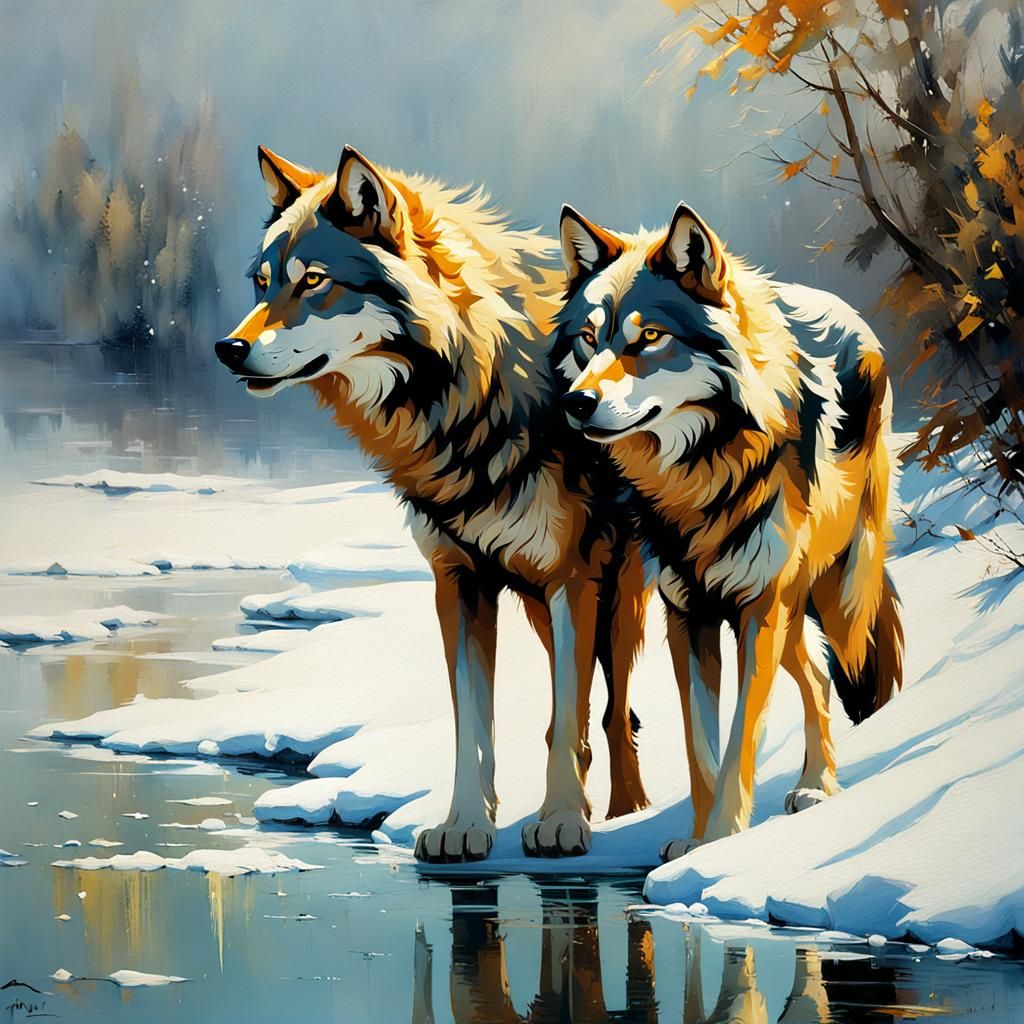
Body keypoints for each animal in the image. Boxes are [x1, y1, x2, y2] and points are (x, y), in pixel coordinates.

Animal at [214, 145, 652, 862]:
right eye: (262, 282)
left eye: (313, 282)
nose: (229, 349)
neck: (467, 397)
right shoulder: (459, 581)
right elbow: (472, 725)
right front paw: (466, 826)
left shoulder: (571, 577)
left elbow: (569, 717)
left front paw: (563, 819)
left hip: (617, 597)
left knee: (613, 713)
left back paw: (628, 813)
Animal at [555, 202, 904, 859]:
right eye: (589, 340)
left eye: (649, 336)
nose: (576, 403)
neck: (701, 473)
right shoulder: (687, 616)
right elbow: (700, 745)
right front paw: (695, 844)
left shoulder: (759, 609)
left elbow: (742, 732)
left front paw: (723, 839)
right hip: (788, 610)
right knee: (818, 678)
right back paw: (815, 783)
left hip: (829, 594)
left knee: (844, 667)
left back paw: (821, 786)